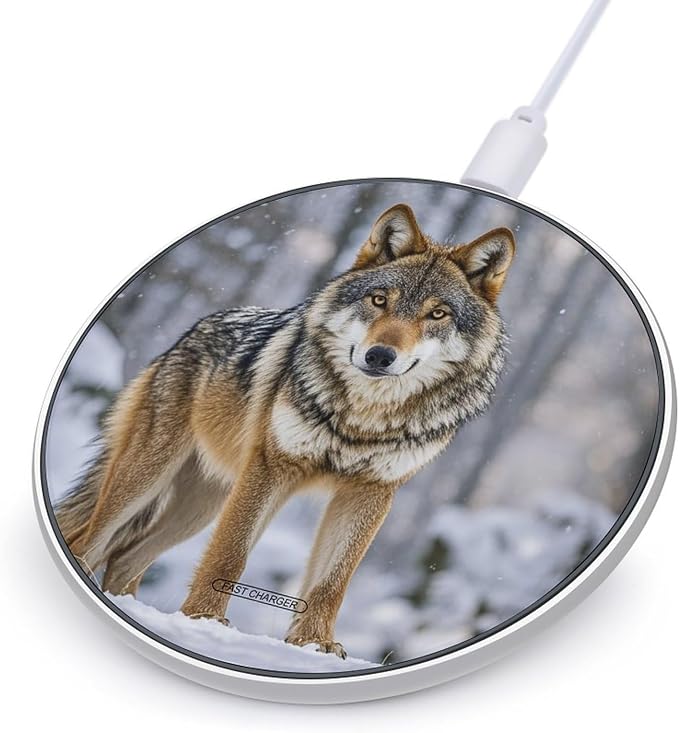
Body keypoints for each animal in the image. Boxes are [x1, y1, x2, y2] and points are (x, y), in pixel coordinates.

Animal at [55, 203, 515, 658]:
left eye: (437, 314)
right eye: (379, 300)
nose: (380, 356)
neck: (363, 419)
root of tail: (193, 330)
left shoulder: (371, 492)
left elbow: (333, 582)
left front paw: (313, 645)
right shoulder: (271, 467)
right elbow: (229, 555)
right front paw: (204, 620)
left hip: (201, 505)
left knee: (125, 558)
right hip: (150, 478)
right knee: (88, 540)